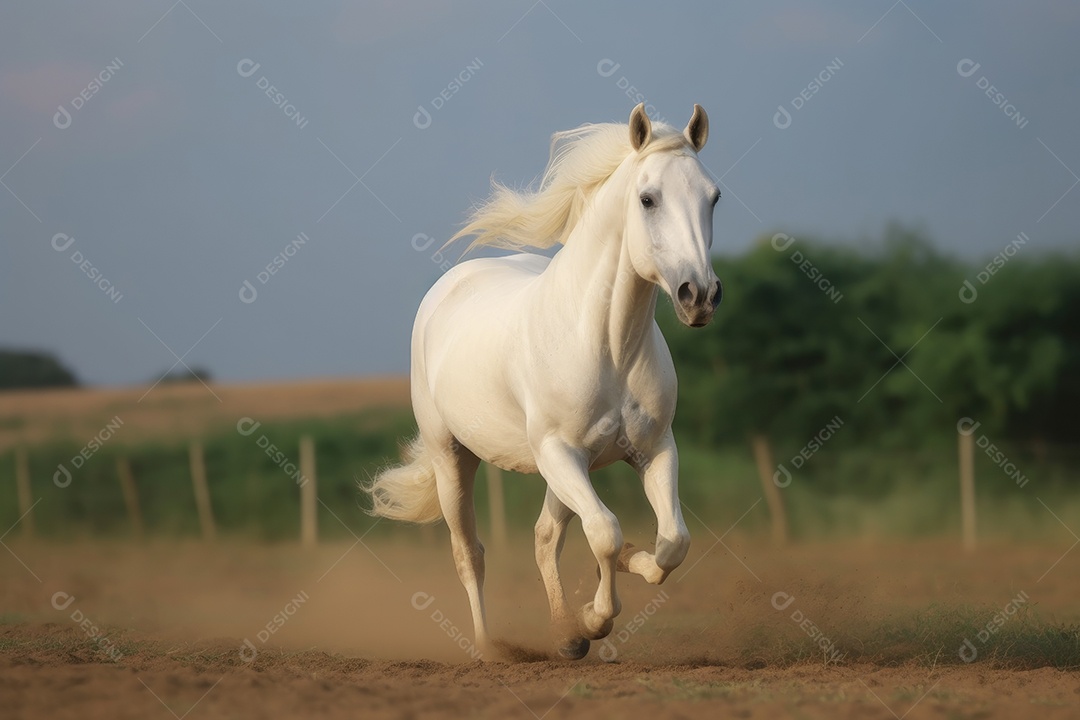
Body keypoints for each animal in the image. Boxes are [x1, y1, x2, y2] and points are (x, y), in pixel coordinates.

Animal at [364, 103, 721, 660]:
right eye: (648, 198)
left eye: (713, 196)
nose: (699, 296)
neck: (607, 346)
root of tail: (450, 286)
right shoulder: (559, 451)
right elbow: (605, 532)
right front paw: (596, 619)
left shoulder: (654, 449)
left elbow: (671, 542)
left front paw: (611, 587)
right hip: (453, 457)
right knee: (469, 552)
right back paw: (491, 647)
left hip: (559, 469)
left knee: (544, 536)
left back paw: (565, 637)